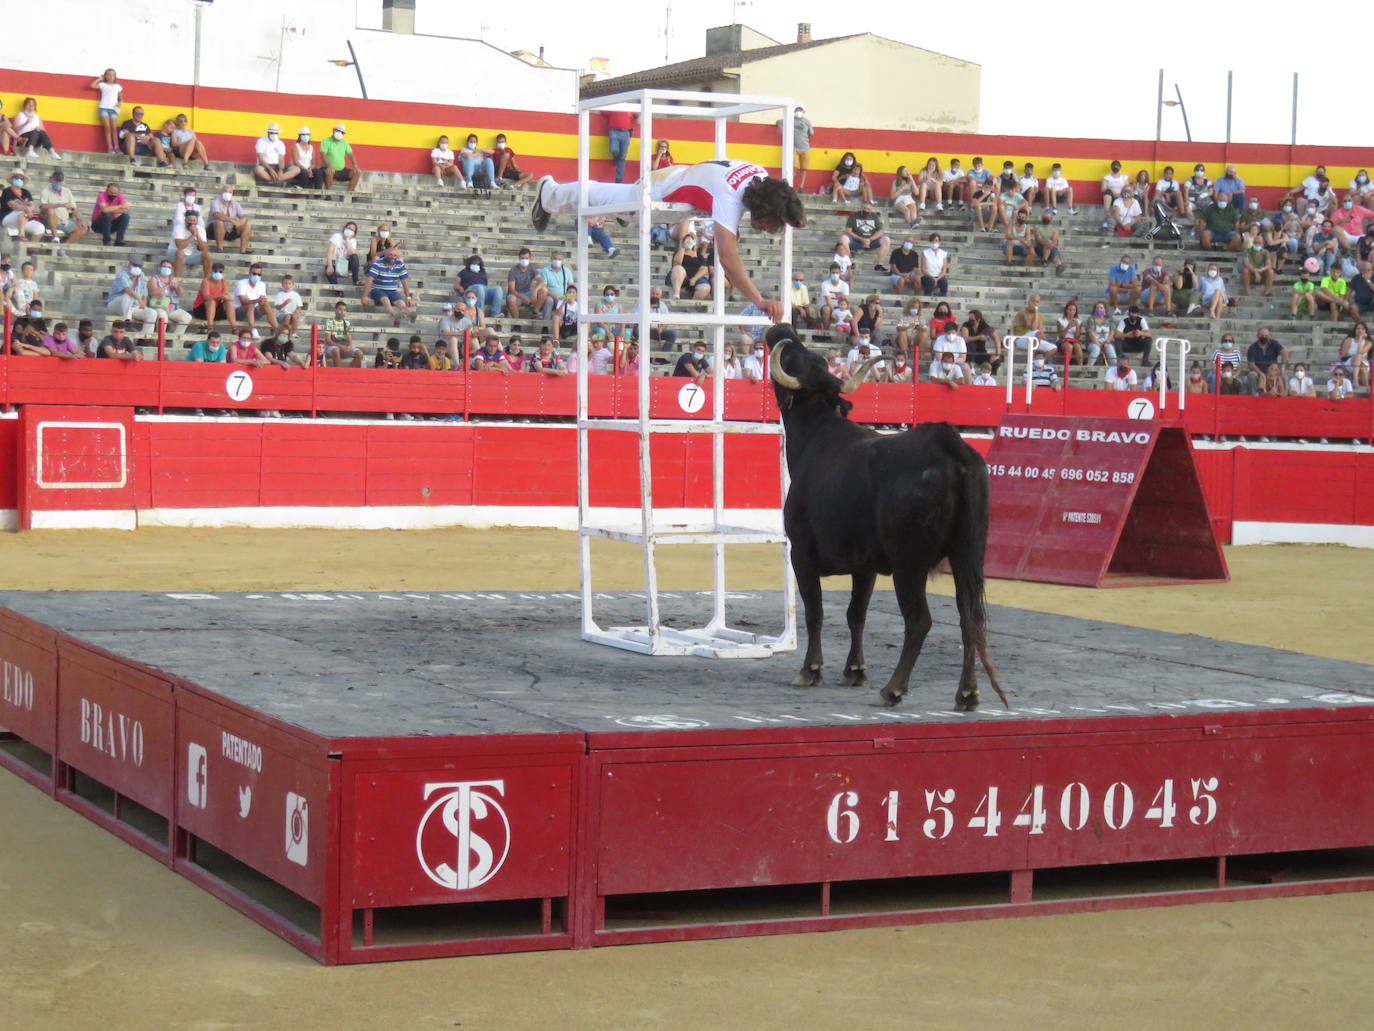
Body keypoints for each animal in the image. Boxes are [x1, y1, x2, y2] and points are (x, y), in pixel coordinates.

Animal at [769, 327, 1005, 714]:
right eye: (805, 356)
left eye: (790, 358)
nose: (782, 332)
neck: (817, 434)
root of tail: (949, 444)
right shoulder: (864, 565)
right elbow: (856, 614)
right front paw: (854, 670)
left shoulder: (801, 553)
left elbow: (815, 610)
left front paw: (810, 670)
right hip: (968, 555)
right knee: (968, 615)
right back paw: (967, 693)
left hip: (909, 563)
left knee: (919, 620)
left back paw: (893, 689)